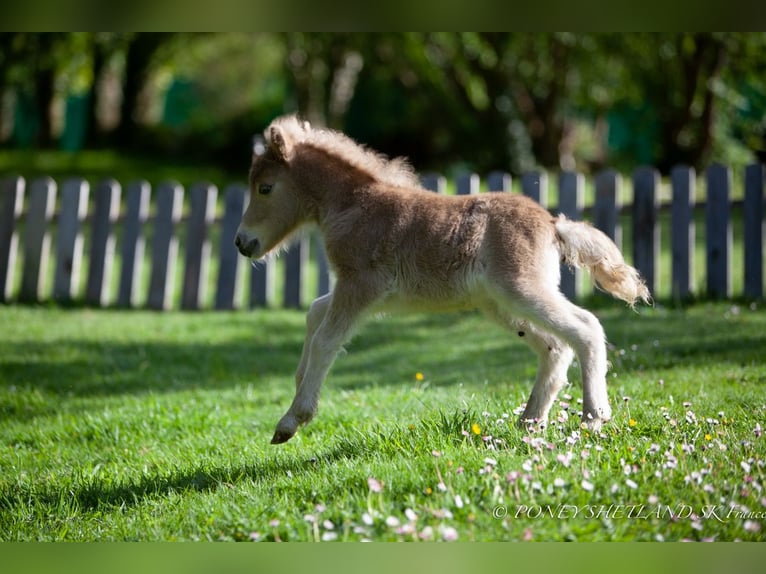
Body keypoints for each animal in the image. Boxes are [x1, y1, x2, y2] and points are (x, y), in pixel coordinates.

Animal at [237, 116, 652, 446]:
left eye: (265, 188)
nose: (243, 243)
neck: (354, 205)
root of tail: (553, 224)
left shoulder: (360, 286)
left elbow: (326, 339)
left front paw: (292, 420)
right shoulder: (363, 293)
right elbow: (313, 313)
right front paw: (299, 382)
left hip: (522, 291)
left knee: (586, 328)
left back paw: (593, 416)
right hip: (501, 305)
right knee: (554, 346)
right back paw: (530, 421)